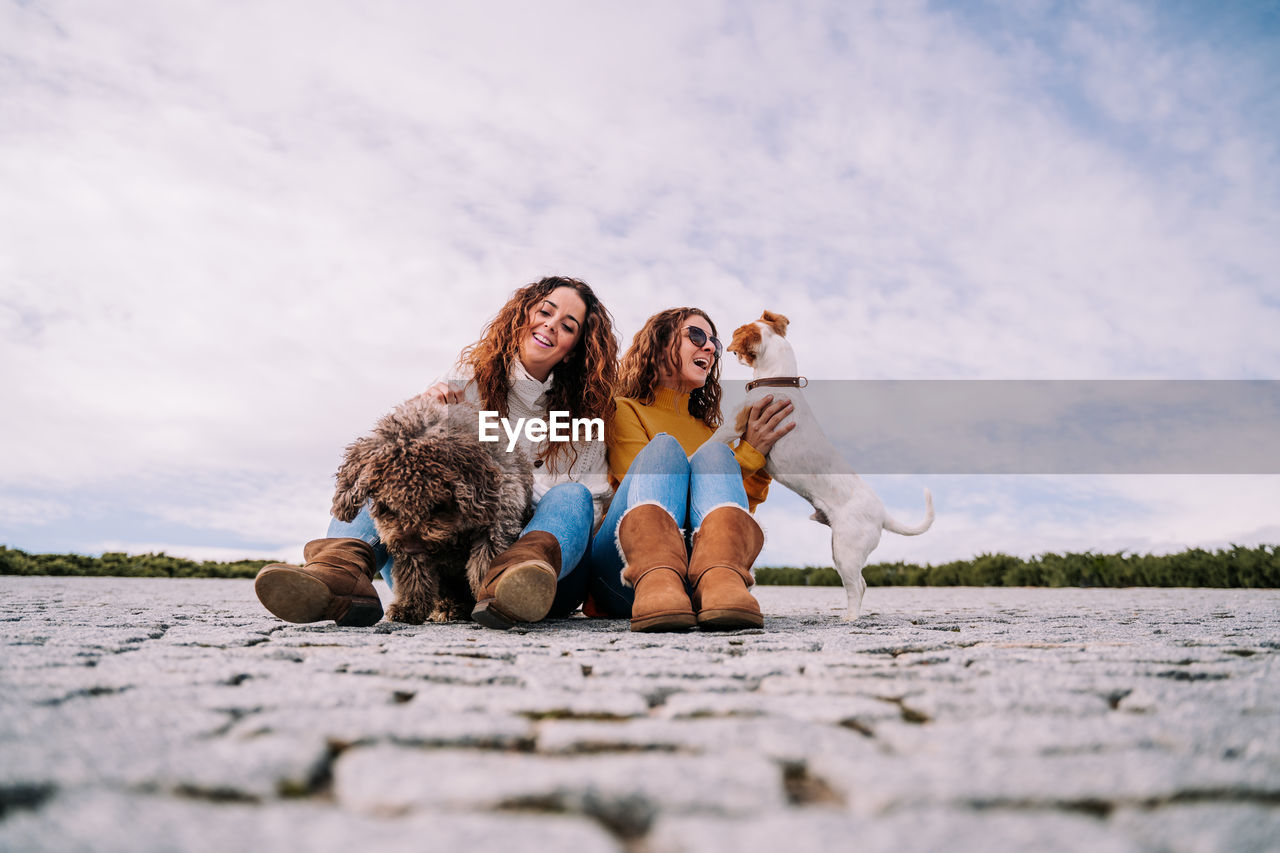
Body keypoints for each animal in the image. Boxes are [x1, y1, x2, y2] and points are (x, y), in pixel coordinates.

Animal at [330, 394, 535, 622]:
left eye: (437, 506)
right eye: (388, 508)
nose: (412, 548)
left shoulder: (495, 528)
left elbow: (483, 567)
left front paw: (489, 599)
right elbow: (414, 575)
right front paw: (409, 607)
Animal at [716, 308, 936, 614]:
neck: (778, 379)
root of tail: (882, 514)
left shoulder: (734, 426)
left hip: (845, 551)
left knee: (857, 587)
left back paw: (850, 619)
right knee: (862, 584)